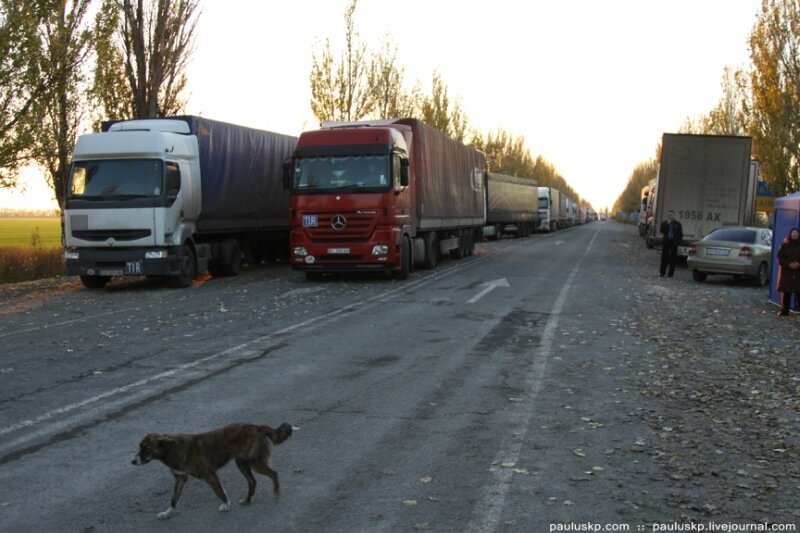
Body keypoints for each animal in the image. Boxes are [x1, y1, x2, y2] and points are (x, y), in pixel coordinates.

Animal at [131, 422, 294, 516]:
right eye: (140, 447)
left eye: (146, 448)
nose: (132, 461)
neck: (172, 449)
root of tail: (257, 427)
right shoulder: (180, 478)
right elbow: (174, 498)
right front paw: (168, 512)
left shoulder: (209, 474)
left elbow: (219, 492)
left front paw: (226, 505)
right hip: (242, 463)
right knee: (253, 482)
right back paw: (247, 500)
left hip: (256, 463)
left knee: (274, 474)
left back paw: (276, 493)